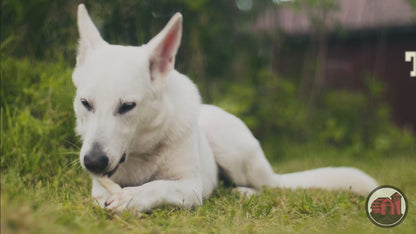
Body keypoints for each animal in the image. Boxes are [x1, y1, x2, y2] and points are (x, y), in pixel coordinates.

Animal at [73, 3, 378, 212]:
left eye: (128, 106)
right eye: (86, 103)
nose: (93, 162)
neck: (141, 151)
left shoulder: (190, 187)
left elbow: (157, 186)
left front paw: (133, 197)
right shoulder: (99, 185)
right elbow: (103, 193)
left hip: (231, 148)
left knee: (268, 186)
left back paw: (245, 192)